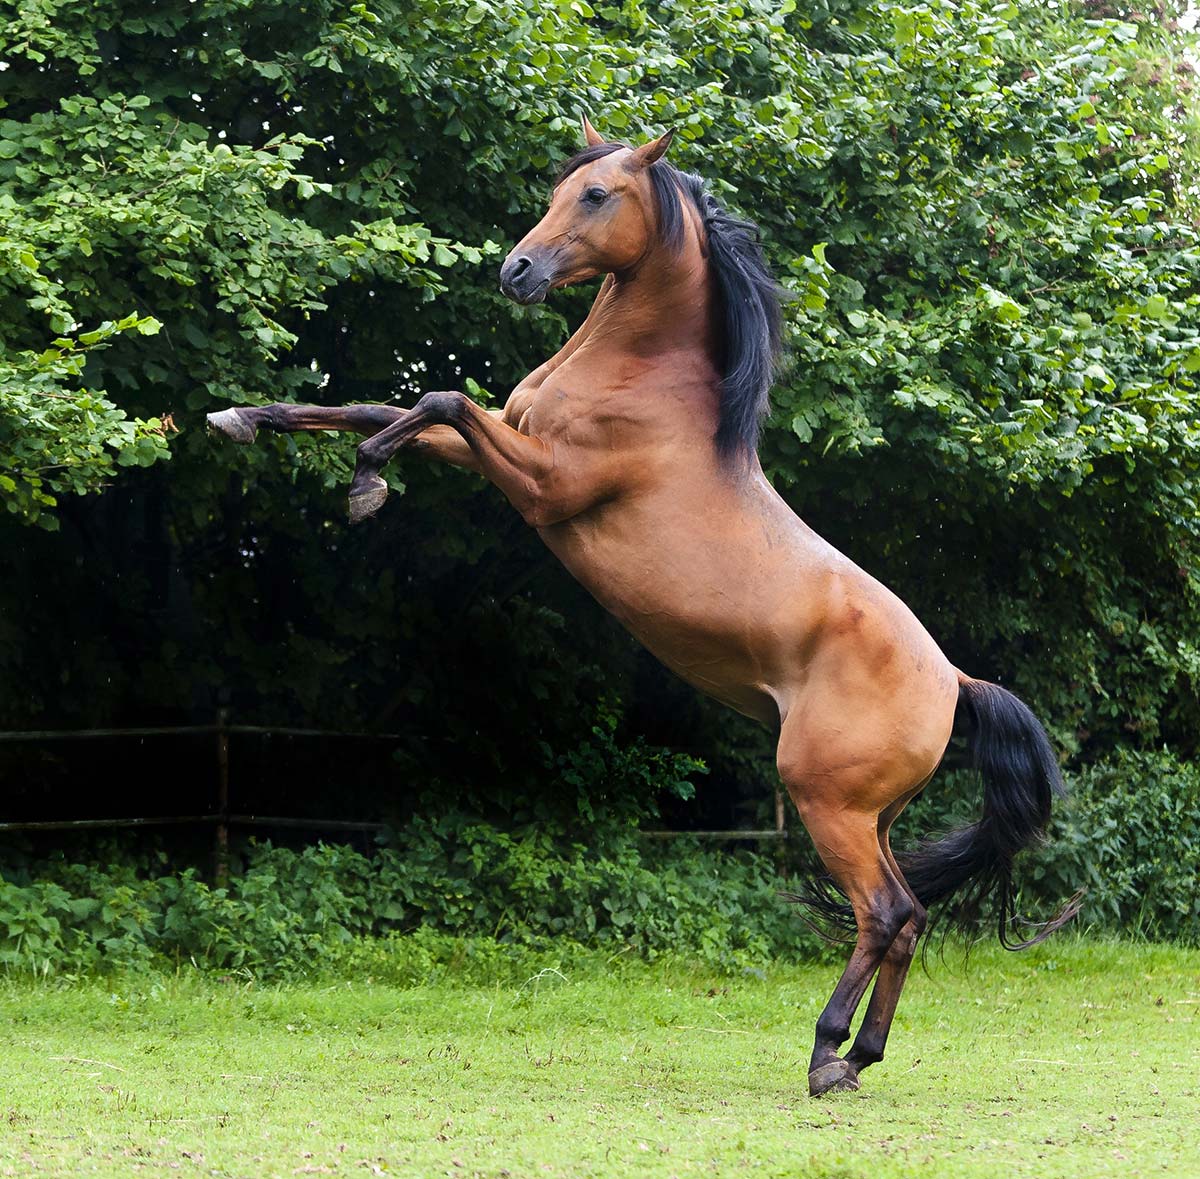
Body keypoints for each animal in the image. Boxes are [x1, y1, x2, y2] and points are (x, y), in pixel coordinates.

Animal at [211, 117, 1084, 1099]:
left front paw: (364, 487)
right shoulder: (499, 447)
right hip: (873, 815)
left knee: (887, 912)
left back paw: (825, 1052)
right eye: (559, 189)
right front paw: (244, 417)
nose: (516, 270)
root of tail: (956, 681)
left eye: (597, 196)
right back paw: (860, 1056)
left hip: (825, 801)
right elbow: (379, 405)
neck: (644, 380)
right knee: (908, 920)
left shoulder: (544, 486)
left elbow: (436, 398)